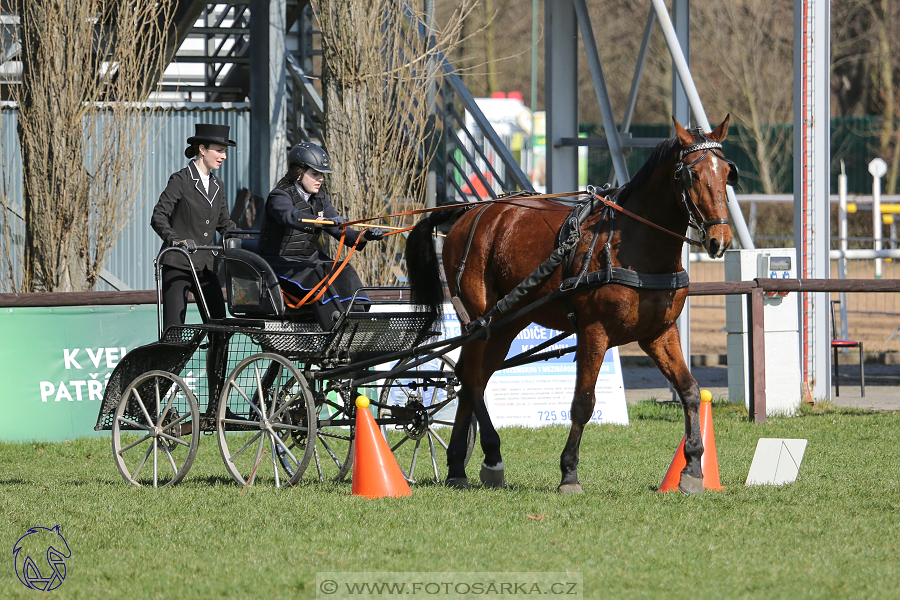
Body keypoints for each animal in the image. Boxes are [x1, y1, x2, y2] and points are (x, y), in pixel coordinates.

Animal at [408, 115, 740, 494]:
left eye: (727, 173)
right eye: (692, 174)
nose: (719, 240)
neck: (634, 247)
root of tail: (470, 212)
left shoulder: (660, 333)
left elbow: (690, 391)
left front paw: (693, 468)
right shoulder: (595, 332)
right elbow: (583, 402)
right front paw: (569, 473)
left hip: (506, 323)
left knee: (472, 379)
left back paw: (459, 466)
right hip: (479, 320)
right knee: (472, 378)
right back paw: (487, 456)